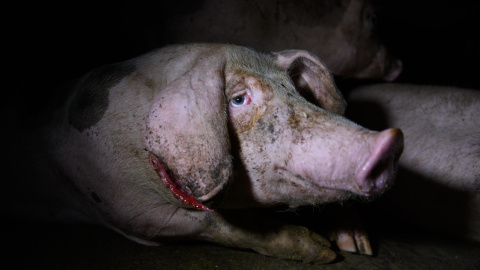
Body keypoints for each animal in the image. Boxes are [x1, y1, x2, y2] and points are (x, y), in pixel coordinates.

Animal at [1, 44, 404, 264]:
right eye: (238, 99)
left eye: (297, 92)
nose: (392, 141)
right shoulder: (127, 210)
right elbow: (221, 226)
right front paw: (324, 252)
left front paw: (360, 247)